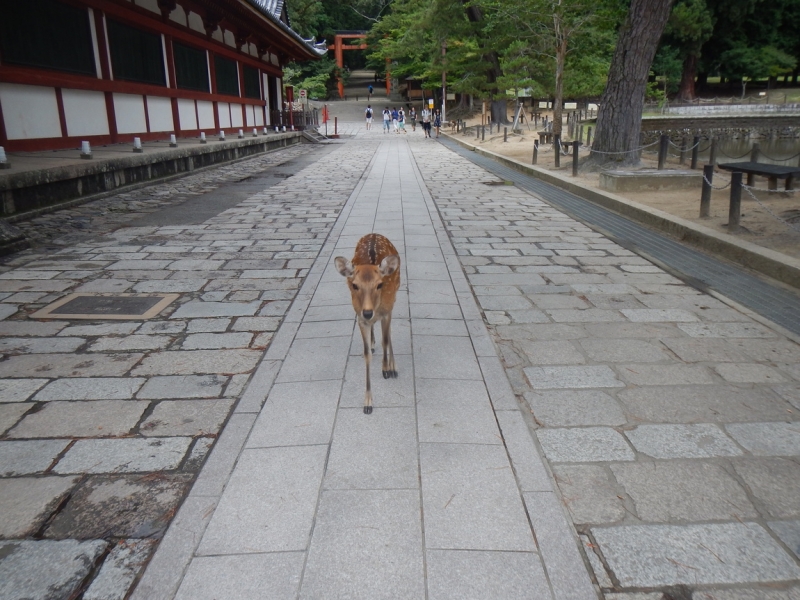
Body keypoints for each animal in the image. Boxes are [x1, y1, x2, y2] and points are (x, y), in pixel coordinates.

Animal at [336, 233, 404, 412]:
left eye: (380, 284)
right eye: (355, 285)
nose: (367, 312)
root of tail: (374, 234)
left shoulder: (386, 311)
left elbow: (385, 339)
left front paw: (386, 369)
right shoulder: (360, 318)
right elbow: (366, 354)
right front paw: (367, 403)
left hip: (395, 295)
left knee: (388, 332)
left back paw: (393, 366)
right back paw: (373, 342)